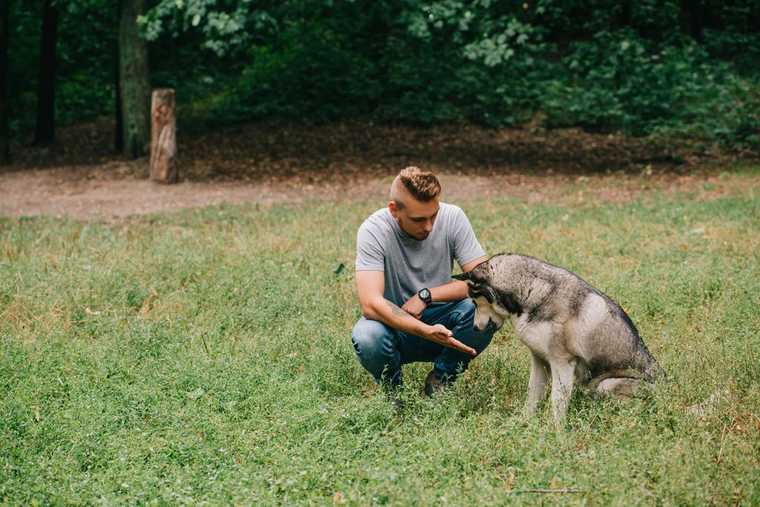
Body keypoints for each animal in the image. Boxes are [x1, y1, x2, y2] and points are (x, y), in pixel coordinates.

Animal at [454, 252, 664, 426]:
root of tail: (668, 390)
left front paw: (554, 432)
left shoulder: (562, 363)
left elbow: (557, 402)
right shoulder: (539, 360)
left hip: (607, 385)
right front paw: (523, 423)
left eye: (474, 301)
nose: (474, 327)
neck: (531, 291)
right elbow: (532, 395)